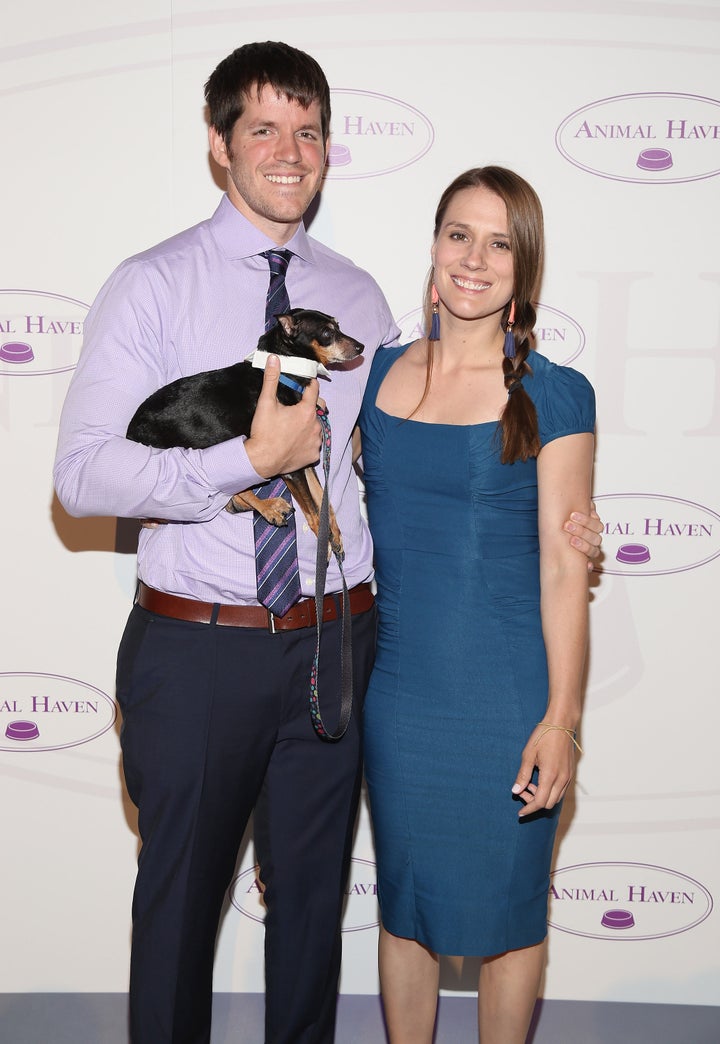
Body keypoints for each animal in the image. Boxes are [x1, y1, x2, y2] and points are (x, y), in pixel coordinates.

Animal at [124, 304, 365, 555]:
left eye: (338, 326)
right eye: (327, 333)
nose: (361, 347)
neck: (285, 373)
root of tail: (130, 432)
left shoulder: (305, 460)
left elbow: (322, 499)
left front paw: (335, 535)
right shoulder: (291, 466)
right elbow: (312, 508)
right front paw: (323, 542)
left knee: (233, 500)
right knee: (232, 491)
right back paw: (269, 508)